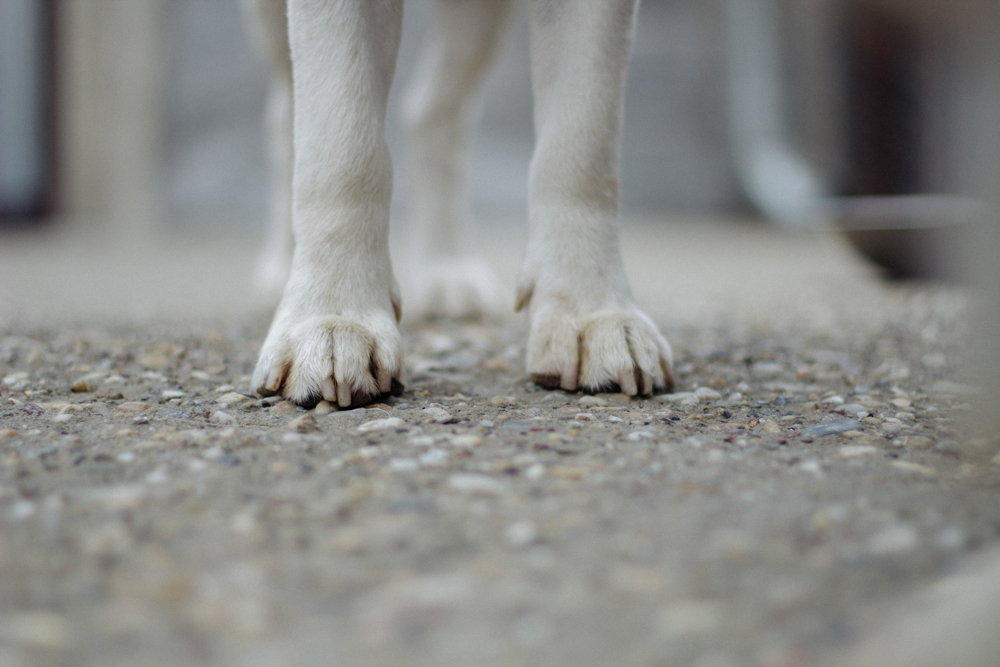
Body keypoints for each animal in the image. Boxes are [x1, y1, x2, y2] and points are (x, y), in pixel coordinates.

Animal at [244, 0, 672, 410]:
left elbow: (584, 139)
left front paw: (595, 313)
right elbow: (342, 141)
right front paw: (332, 318)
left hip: (478, 22)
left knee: (431, 113)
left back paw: (446, 269)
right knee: (285, 116)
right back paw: (281, 265)